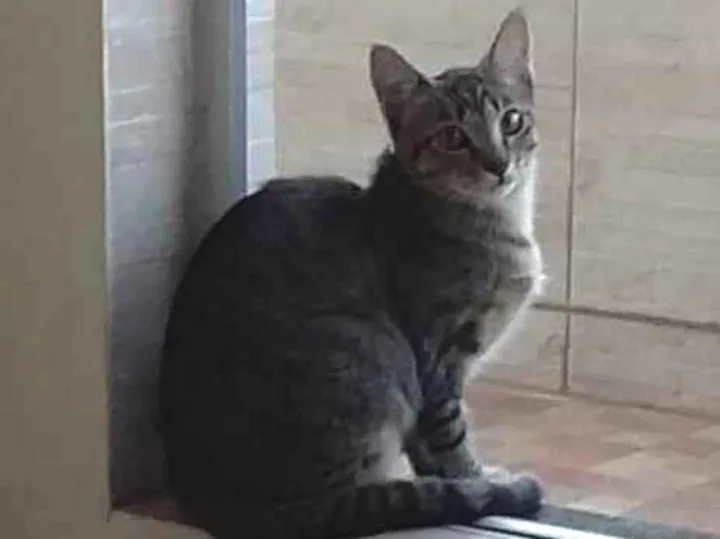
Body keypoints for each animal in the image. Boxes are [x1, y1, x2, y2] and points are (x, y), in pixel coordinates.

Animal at [158, 8, 545, 539]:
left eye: (512, 120)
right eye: (452, 137)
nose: (499, 164)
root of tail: (236, 509)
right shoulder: (435, 354)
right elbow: (448, 437)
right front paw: (478, 481)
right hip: (369, 345)